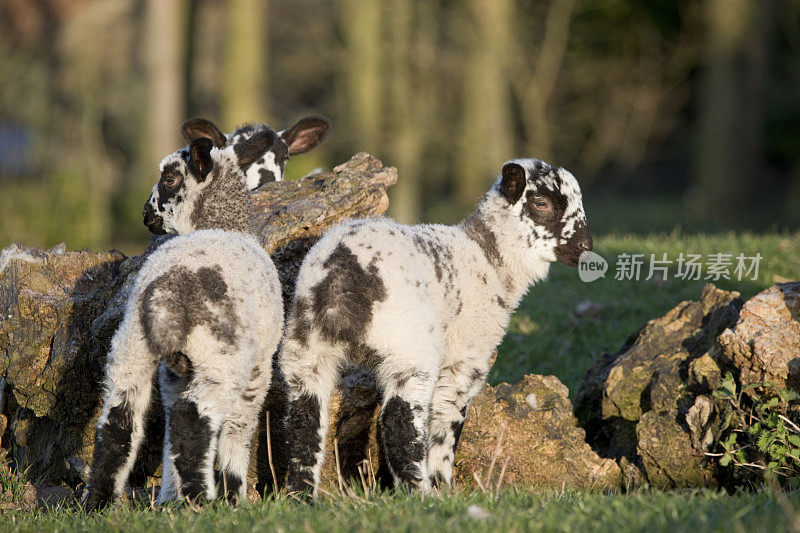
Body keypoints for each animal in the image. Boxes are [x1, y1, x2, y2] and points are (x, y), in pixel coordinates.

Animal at [83, 129, 284, 508]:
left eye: (169, 178)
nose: (145, 214)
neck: (225, 226)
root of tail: (168, 295)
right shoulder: (259, 367)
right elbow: (238, 428)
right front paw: (234, 494)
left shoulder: (172, 374)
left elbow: (168, 429)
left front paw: (167, 497)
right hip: (221, 358)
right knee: (193, 417)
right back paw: (199, 499)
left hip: (132, 347)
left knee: (121, 420)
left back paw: (98, 503)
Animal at [278, 157, 592, 494]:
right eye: (542, 203)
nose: (586, 246)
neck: (487, 259)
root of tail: (345, 269)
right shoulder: (466, 359)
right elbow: (445, 420)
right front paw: (443, 487)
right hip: (408, 344)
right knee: (399, 420)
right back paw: (420, 492)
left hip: (305, 344)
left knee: (304, 420)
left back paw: (300, 495)